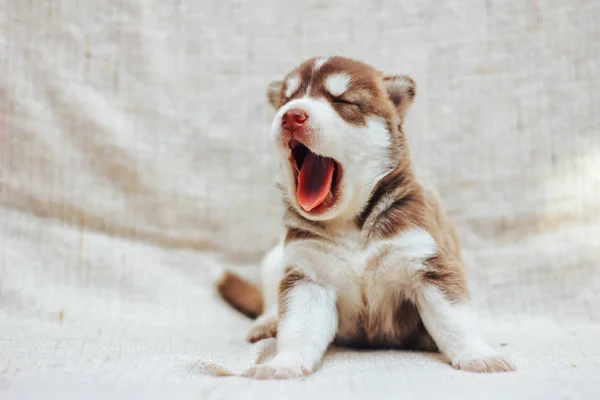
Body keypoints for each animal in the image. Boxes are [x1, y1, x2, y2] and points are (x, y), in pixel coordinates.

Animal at [217, 55, 516, 378]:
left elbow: (455, 318)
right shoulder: (309, 276)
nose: (292, 115)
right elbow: (298, 326)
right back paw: (267, 322)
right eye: (287, 100)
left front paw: (478, 355)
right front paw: (284, 363)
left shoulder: (428, 264)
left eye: (342, 101)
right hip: (275, 259)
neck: (352, 226)